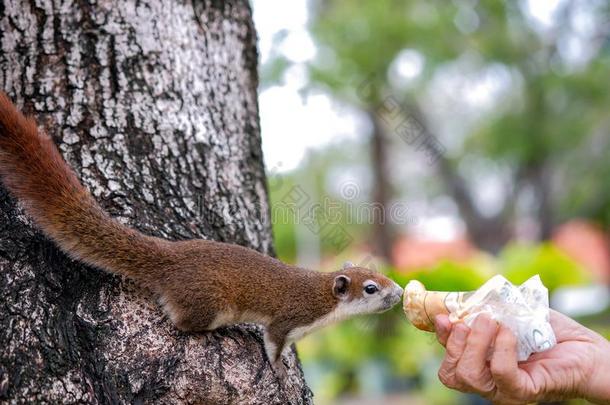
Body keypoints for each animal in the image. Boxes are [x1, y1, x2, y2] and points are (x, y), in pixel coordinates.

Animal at [0, 91, 404, 376]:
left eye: (380, 276)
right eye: (371, 288)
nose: (400, 294)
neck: (323, 301)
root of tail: (171, 258)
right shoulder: (286, 321)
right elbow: (273, 345)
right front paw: (278, 371)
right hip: (207, 302)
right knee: (182, 323)